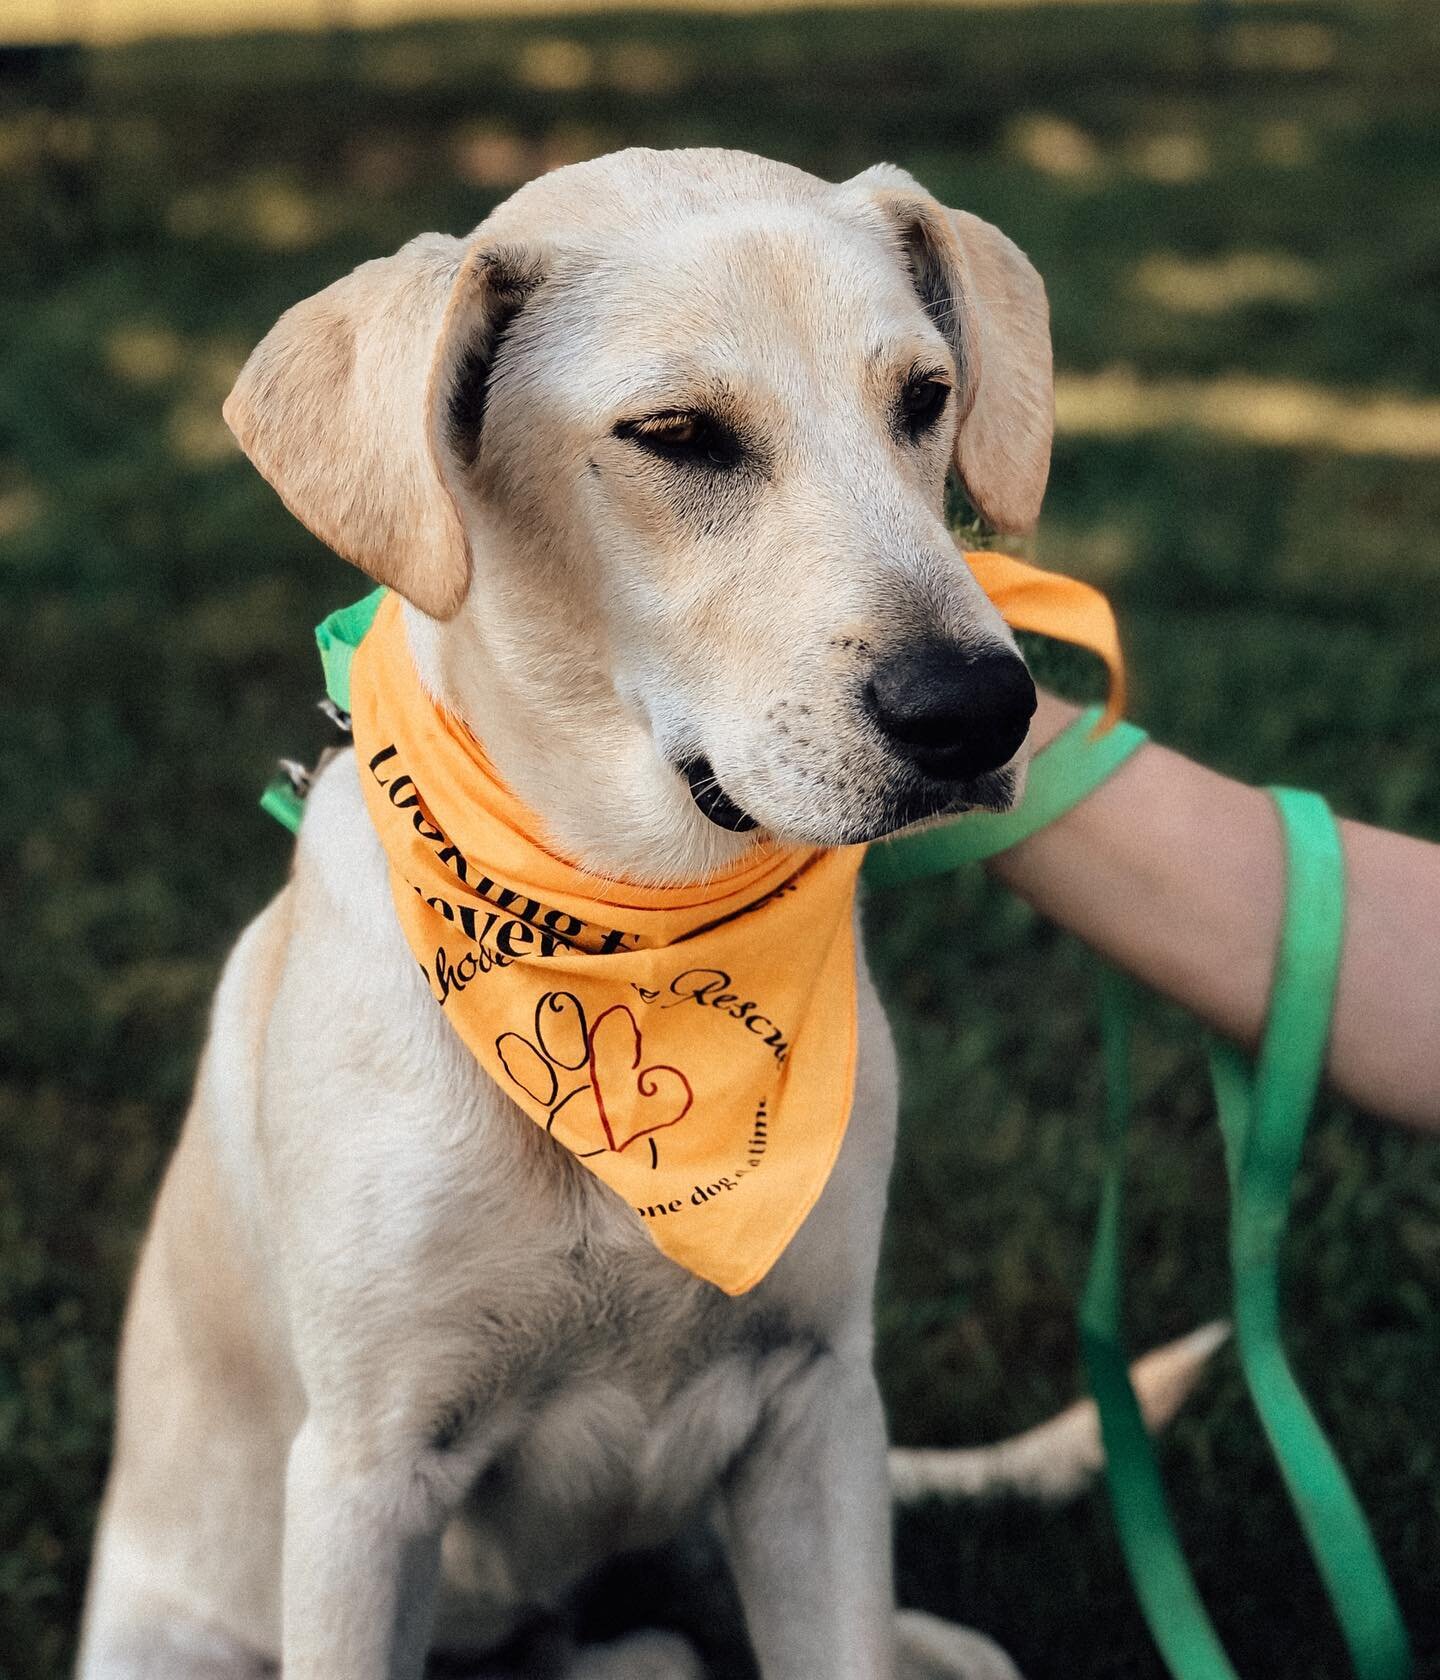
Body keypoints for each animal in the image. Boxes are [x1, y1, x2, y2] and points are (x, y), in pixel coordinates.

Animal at [73, 147, 1209, 1680]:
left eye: (925, 399)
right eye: (677, 434)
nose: (981, 710)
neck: (633, 930)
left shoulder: (814, 1400)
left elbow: (835, 1637)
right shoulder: (367, 1476)